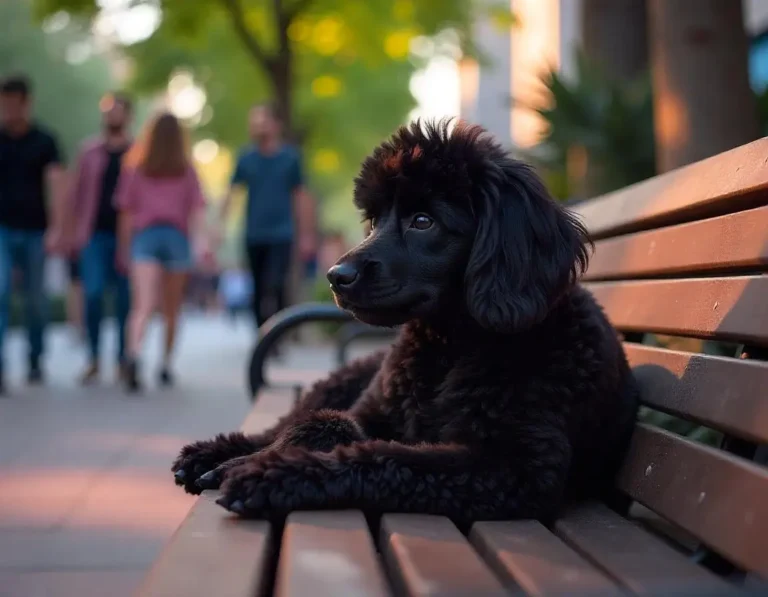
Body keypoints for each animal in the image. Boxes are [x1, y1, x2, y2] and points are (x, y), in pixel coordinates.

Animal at [172, 121, 636, 520]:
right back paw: (212, 453)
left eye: (423, 221)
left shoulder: (516, 468)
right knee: (288, 419)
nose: (336, 276)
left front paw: (270, 474)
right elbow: (325, 424)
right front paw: (250, 458)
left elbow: (387, 458)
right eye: (374, 220)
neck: (451, 349)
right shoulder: (371, 413)